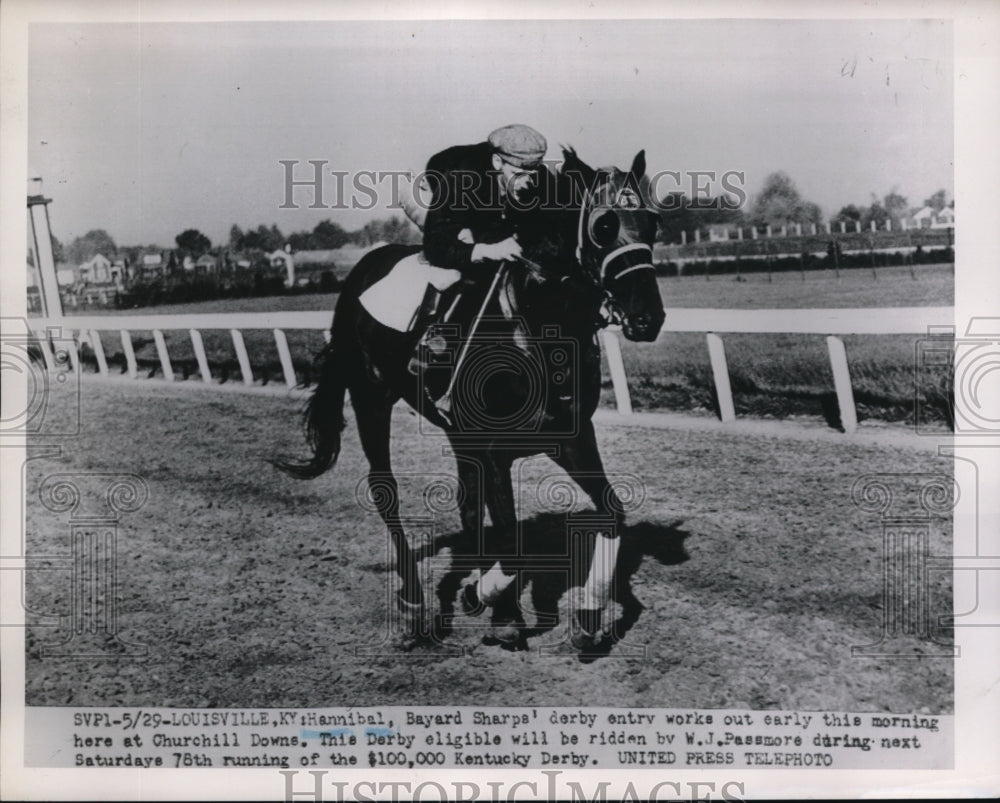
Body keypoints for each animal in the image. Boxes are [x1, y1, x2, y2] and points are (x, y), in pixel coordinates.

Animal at [272, 149, 664, 652]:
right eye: (604, 225)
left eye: (652, 222)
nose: (647, 317)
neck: (541, 324)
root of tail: (364, 268)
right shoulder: (494, 449)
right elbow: (511, 545)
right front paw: (496, 605)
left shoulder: (570, 437)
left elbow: (611, 513)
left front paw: (588, 617)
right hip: (371, 400)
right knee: (386, 492)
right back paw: (415, 606)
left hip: (455, 430)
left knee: (467, 504)